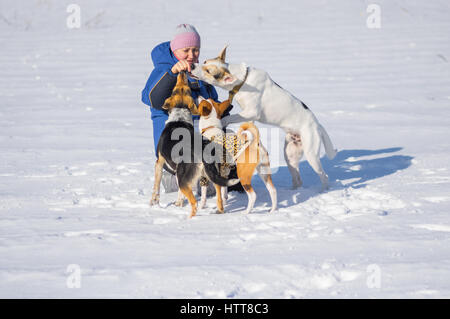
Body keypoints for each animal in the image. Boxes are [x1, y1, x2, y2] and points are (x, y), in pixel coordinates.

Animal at [150, 72, 239, 220]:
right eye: (183, 89)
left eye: (174, 89)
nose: (181, 73)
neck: (179, 117)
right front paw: (179, 203)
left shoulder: (159, 162)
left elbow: (156, 187)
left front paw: (154, 203)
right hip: (210, 175)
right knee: (219, 195)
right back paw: (219, 210)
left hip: (185, 177)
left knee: (194, 202)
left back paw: (189, 219)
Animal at [188, 46, 336, 191]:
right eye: (205, 62)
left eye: (208, 71)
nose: (192, 65)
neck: (242, 81)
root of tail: (317, 124)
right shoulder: (250, 117)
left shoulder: (251, 112)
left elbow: (228, 119)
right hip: (290, 155)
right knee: (297, 179)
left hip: (311, 154)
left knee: (324, 176)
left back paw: (324, 190)